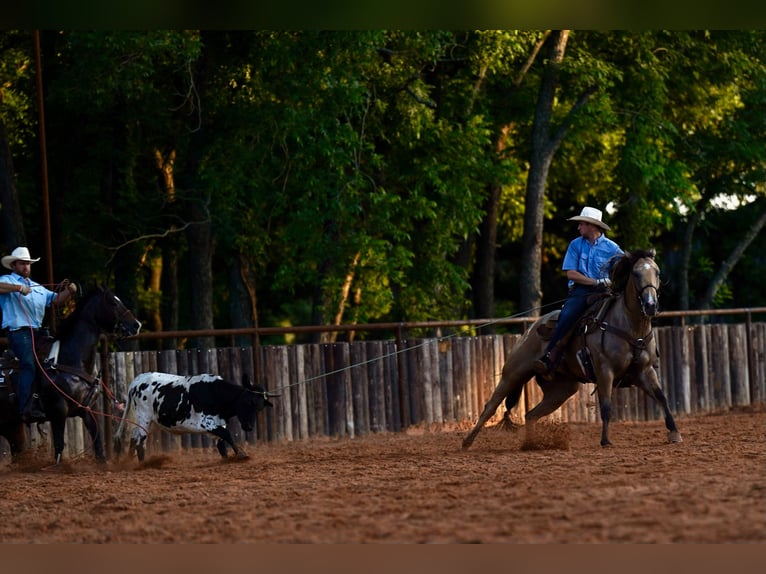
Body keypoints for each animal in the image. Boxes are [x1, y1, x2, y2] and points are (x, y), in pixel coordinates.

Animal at [0, 286, 141, 466]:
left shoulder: (89, 409)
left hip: (12, 426)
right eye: (113, 302)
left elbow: (98, 443)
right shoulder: (58, 410)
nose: (136, 325)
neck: (71, 361)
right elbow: (59, 446)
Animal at [111, 374, 272, 464]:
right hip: (144, 417)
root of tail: (136, 381)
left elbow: (222, 444)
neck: (215, 393)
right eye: (249, 401)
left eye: (260, 407)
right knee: (140, 441)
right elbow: (227, 435)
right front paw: (242, 454)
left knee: (134, 436)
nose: (249, 427)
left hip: (152, 422)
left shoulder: (218, 424)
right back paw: (142, 464)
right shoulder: (206, 423)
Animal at [462, 250, 684, 452]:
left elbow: (662, 398)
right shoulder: (605, 370)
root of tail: (531, 328)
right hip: (513, 373)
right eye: (636, 274)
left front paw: (674, 433)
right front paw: (605, 441)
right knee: (491, 406)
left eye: (657, 272)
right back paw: (467, 442)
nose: (650, 305)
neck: (629, 326)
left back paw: (530, 444)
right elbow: (606, 406)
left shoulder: (645, 371)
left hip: (562, 389)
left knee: (531, 414)